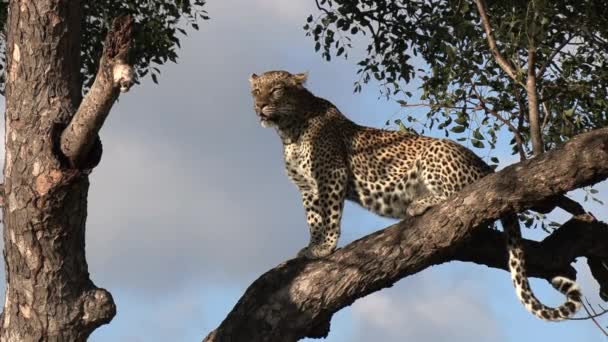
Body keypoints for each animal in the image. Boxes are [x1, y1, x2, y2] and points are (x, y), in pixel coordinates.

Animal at [249, 69, 580, 320]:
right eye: (256, 91)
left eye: (276, 90)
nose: (260, 107)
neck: (288, 130)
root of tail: (485, 167)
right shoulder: (307, 187)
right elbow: (314, 218)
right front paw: (311, 247)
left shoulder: (331, 174)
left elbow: (329, 215)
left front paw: (324, 248)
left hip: (436, 154)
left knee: (465, 197)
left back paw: (418, 203)